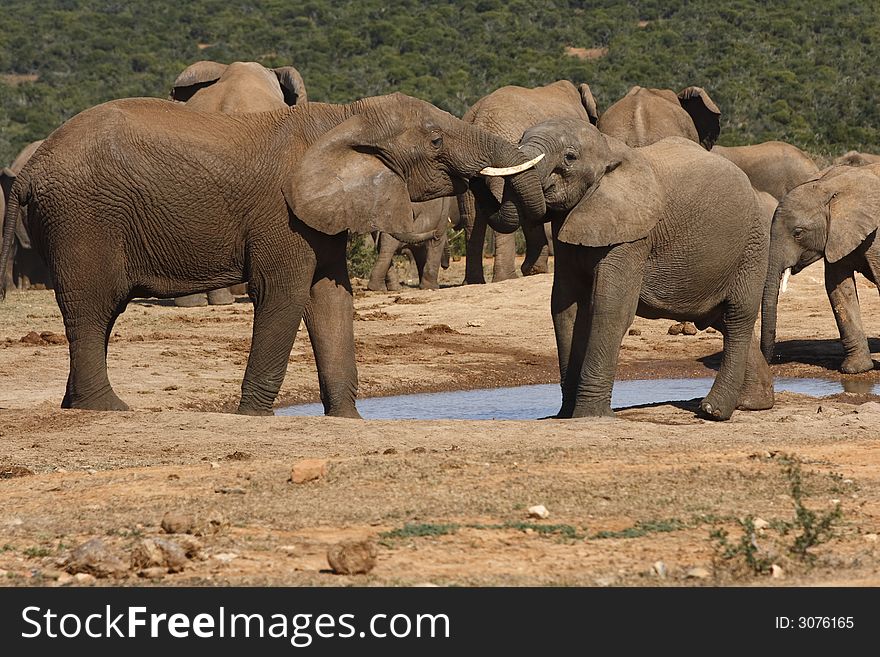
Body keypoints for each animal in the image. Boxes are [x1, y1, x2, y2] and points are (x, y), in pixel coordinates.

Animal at [0, 93, 548, 416]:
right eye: (435, 140)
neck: (344, 118)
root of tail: (29, 171)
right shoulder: (280, 216)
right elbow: (283, 296)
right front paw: (252, 417)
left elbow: (330, 300)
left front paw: (346, 419)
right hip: (83, 219)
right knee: (93, 309)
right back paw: (108, 409)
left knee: (96, 313)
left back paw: (76, 405)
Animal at [458, 78, 600, 284]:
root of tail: (479, 118)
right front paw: (536, 270)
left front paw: (534, 270)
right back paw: (505, 278)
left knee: (470, 214)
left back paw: (473, 282)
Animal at [506, 118, 772, 420]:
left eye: (569, 157)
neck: (608, 149)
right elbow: (565, 308)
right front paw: (564, 417)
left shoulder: (634, 236)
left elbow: (612, 308)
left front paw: (591, 416)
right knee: (722, 319)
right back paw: (753, 403)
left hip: (752, 246)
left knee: (738, 317)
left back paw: (713, 411)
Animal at [760, 163, 880, 374]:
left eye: (798, 233)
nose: (767, 362)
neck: (830, 186)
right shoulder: (837, 234)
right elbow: (838, 287)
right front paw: (855, 369)